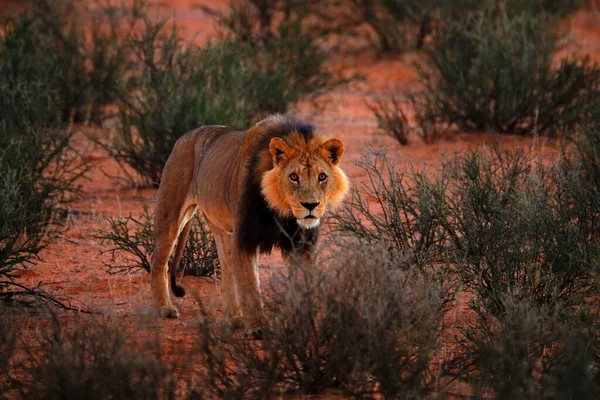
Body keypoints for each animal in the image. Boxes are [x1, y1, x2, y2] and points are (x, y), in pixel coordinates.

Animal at [148, 115, 350, 334]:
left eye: (322, 177)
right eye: (293, 177)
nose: (311, 205)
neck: (281, 210)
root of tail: (184, 137)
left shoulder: (300, 242)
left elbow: (303, 283)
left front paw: (306, 324)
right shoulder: (244, 236)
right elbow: (250, 284)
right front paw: (257, 327)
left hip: (222, 229)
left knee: (226, 275)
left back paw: (235, 318)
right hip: (171, 214)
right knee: (158, 260)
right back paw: (164, 307)